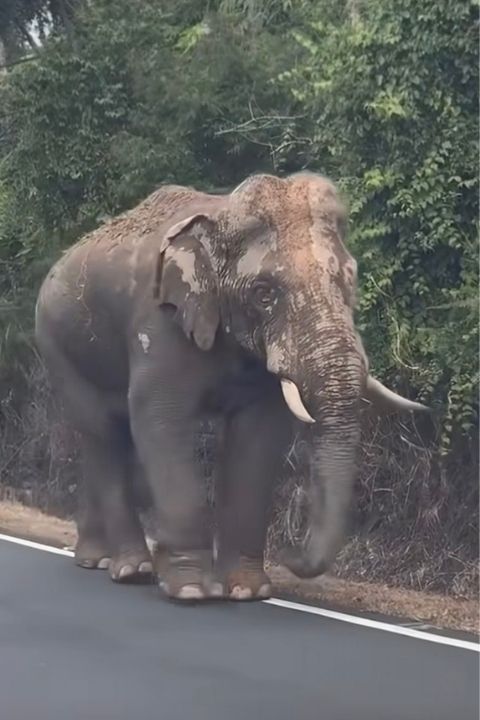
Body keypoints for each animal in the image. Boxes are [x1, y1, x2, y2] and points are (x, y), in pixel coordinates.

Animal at [35, 172, 427, 602]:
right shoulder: (158, 323)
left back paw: (100, 560)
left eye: (349, 279)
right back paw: (132, 570)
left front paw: (247, 591)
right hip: (57, 348)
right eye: (264, 293)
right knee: (101, 433)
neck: (220, 215)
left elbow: (258, 436)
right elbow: (161, 419)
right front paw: (191, 591)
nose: (290, 553)